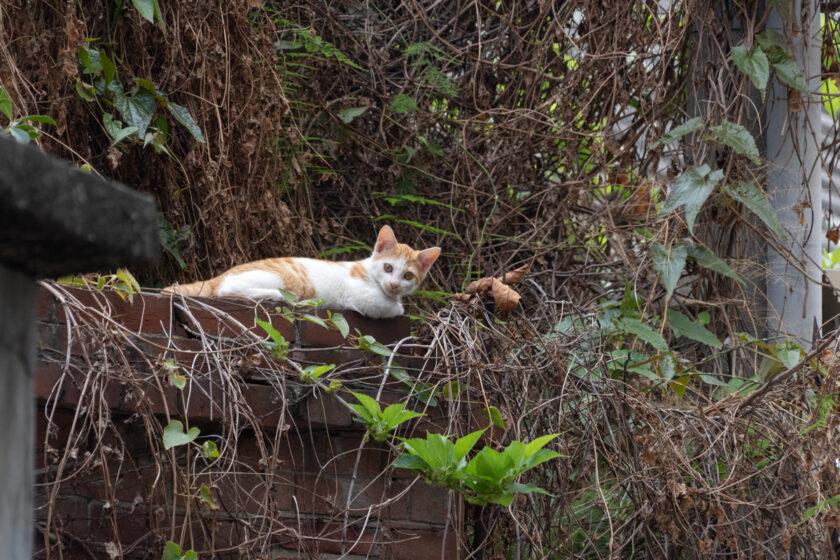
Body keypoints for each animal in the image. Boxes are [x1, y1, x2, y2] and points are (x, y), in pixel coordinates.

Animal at [162, 225, 442, 318]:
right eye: (388, 267)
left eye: (407, 276)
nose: (394, 285)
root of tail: (219, 274)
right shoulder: (359, 296)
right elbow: (392, 308)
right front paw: (399, 307)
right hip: (285, 280)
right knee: (227, 290)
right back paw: (282, 297)